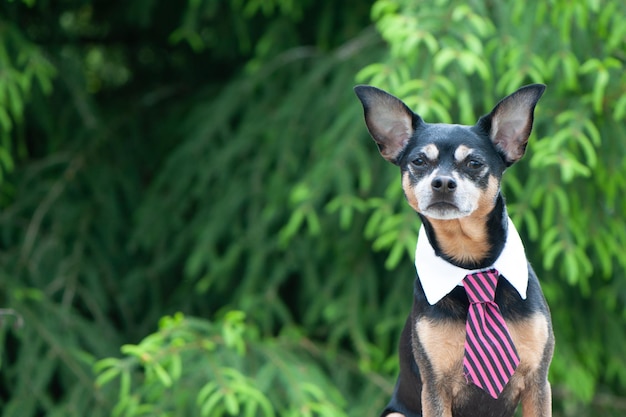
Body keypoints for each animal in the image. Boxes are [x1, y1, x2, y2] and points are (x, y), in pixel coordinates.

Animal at [354, 84, 552, 416]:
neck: (470, 263)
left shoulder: (538, 382)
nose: (443, 183)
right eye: (419, 161)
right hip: (396, 412)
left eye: (474, 163)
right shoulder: (435, 387)